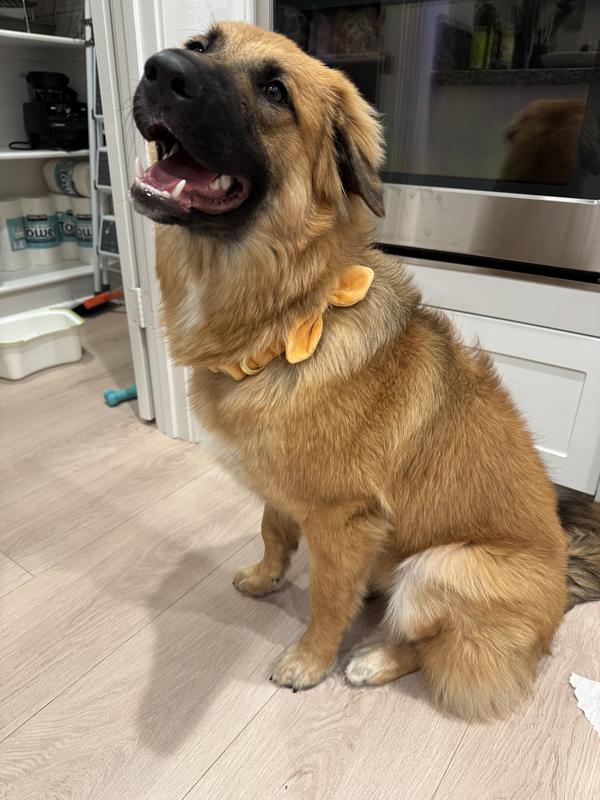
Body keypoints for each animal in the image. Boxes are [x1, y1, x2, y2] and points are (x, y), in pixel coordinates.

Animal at [132, 21, 600, 720]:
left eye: (276, 91)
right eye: (201, 44)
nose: (162, 70)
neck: (291, 316)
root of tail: (559, 606)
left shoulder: (343, 521)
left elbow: (328, 600)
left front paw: (309, 662)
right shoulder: (283, 491)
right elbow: (272, 532)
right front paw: (265, 579)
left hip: (440, 568)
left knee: (433, 647)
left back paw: (374, 659)